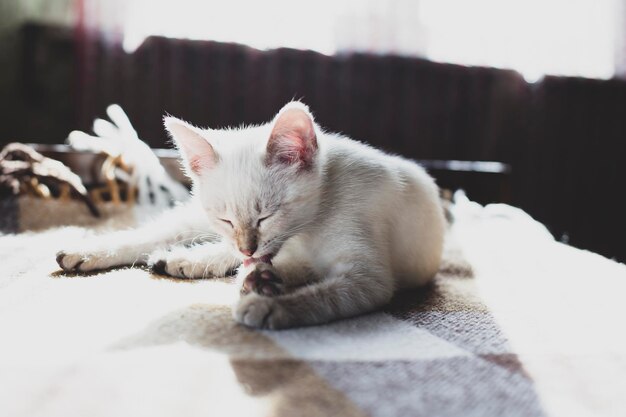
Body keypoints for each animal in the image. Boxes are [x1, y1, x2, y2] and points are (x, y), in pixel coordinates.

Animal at [54, 101, 444, 328]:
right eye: (225, 218)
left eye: (265, 217)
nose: (247, 246)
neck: (310, 225)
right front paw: (261, 289)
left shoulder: (368, 278)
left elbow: (325, 295)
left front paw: (271, 304)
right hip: (192, 221)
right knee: (157, 234)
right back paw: (86, 251)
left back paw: (185, 260)